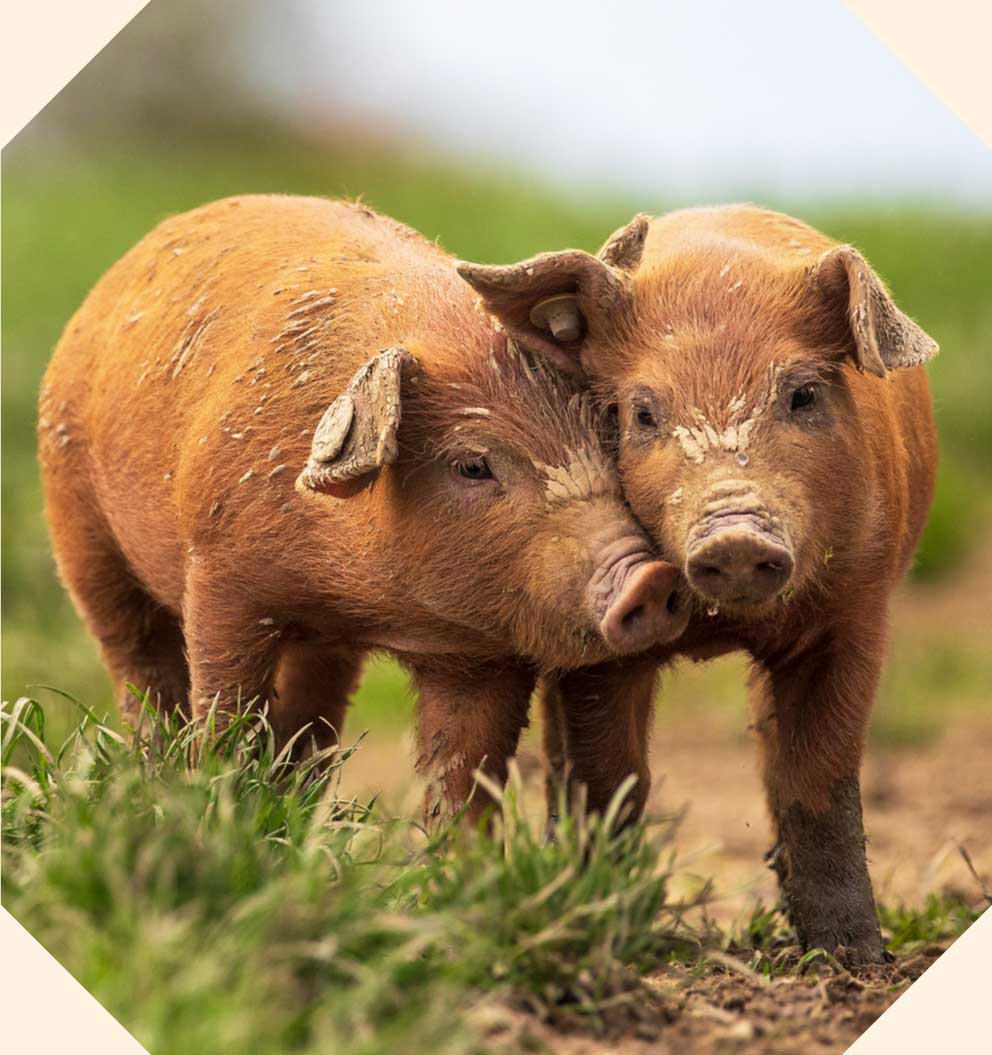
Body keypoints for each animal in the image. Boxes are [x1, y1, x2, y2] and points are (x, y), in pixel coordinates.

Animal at [38, 194, 690, 825]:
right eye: (472, 466)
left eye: (607, 432)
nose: (651, 576)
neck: (367, 602)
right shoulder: (219, 573)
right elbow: (227, 702)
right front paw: (217, 795)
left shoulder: (483, 650)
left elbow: (465, 769)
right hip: (78, 526)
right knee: (136, 659)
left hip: (321, 646)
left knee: (311, 714)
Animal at [458, 204, 938, 960]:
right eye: (642, 412)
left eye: (803, 395)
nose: (735, 534)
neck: (721, 625)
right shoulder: (606, 639)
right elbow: (610, 778)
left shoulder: (858, 609)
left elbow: (819, 776)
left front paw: (853, 958)